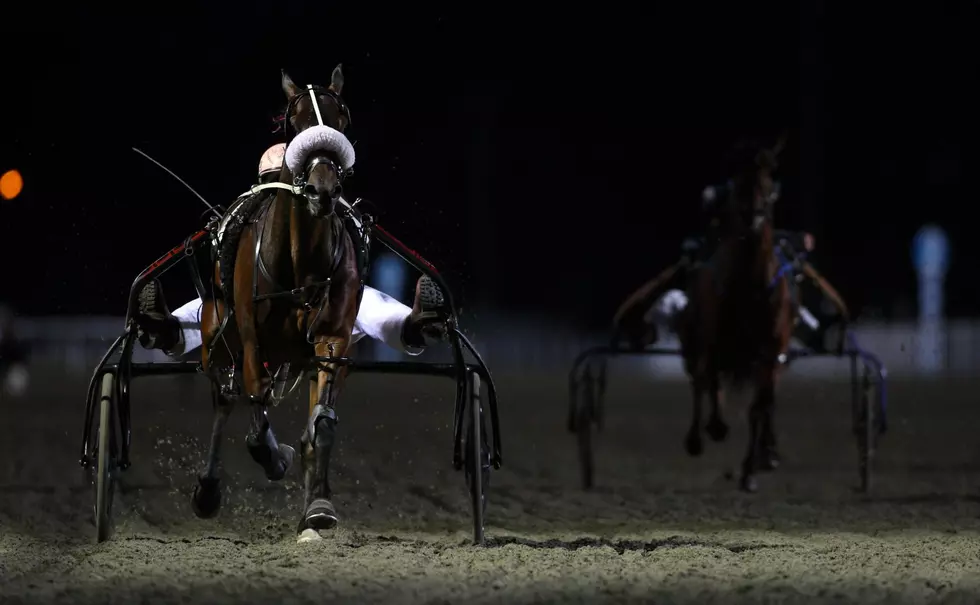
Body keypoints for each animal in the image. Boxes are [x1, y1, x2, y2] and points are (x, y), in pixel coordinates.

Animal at [191, 66, 360, 536]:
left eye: (342, 118)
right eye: (296, 120)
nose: (323, 189)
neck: (299, 262)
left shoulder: (333, 340)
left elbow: (321, 424)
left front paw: (318, 508)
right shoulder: (251, 341)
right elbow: (255, 414)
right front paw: (274, 456)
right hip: (217, 332)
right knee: (224, 399)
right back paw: (208, 489)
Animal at [680, 136, 796, 490]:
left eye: (770, 187)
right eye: (738, 184)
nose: (754, 221)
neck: (750, 285)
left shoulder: (770, 349)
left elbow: (760, 406)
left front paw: (751, 469)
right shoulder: (712, 336)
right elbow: (706, 378)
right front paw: (712, 430)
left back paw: (766, 452)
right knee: (702, 377)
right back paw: (703, 433)